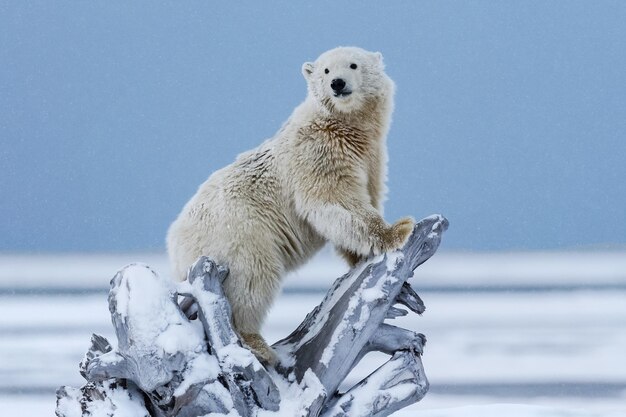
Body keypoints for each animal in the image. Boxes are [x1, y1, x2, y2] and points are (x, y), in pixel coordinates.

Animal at [165, 45, 414, 362]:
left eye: (353, 65)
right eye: (326, 70)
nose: (337, 84)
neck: (346, 126)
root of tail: (175, 245)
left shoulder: (370, 158)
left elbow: (364, 198)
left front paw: (360, 257)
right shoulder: (320, 152)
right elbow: (335, 199)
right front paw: (399, 229)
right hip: (239, 235)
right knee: (252, 281)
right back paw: (259, 346)